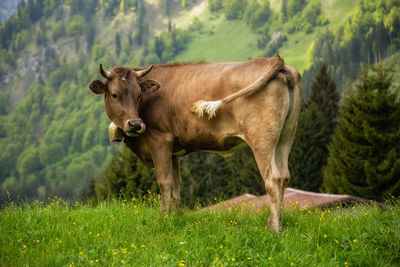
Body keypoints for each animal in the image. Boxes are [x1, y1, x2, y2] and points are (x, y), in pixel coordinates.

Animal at [89, 54, 302, 232]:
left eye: (139, 94)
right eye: (115, 94)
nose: (135, 124)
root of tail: (273, 60)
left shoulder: (160, 140)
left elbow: (164, 181)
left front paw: (163, 217)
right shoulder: (174, 150)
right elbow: (176, 183)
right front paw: (178, 216)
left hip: (262, 138)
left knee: (272, 179)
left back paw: (274, 229)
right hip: (286, 135)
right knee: (284, 177)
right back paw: (276, 223)